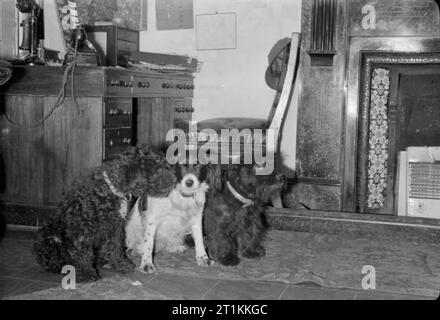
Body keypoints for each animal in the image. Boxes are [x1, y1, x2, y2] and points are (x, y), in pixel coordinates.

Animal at [32, 146, 175, 282]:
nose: (174, 180)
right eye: (158, 170)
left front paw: (120, 265)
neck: (109, 189)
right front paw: (86, 273)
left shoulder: (115, 227)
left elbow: (115, 247)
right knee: (51, 260)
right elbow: (83, 251)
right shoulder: (80, 227)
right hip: (50, 237)